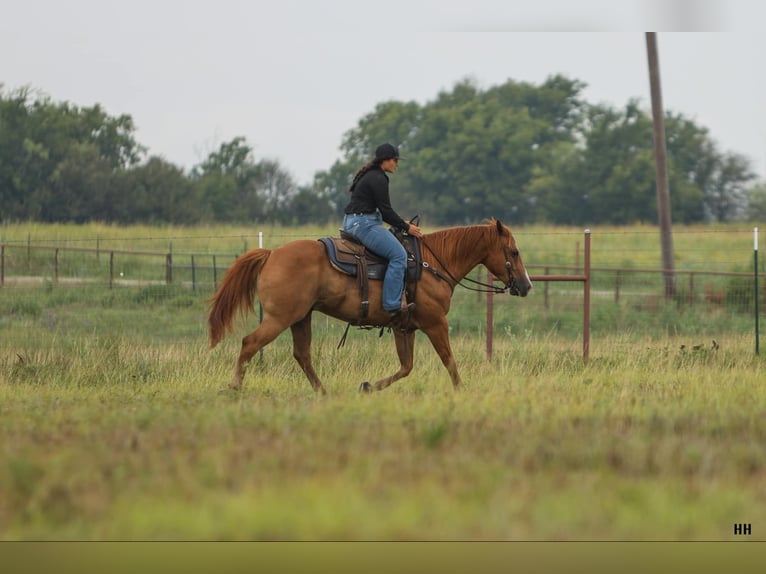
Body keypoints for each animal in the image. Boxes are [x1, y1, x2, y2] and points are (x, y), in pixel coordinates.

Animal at [210, 218, 536, 394]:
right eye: (514, 252)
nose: (527, 285)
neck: (432, 263)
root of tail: (271, 253)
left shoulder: (405, 328)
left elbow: (406, 367)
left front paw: (367, 387)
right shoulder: (435, 324)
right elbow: (449, 362)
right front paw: (461, 392)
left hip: (300, 318)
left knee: (302, 355)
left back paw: (323, 392)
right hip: (279, 318)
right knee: (250, 343)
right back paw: (235, 385)